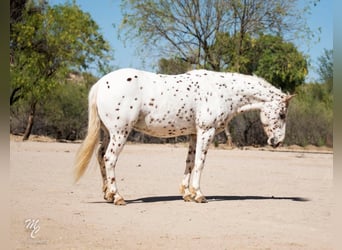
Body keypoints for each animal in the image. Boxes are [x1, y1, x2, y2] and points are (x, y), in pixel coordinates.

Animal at [75, 68, 294, 205]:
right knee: (109, 159)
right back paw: (118, 197)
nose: (278, 142)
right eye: (282, 114)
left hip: (107, 133)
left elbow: (189, 162)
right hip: (120, 133)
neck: (222, 90)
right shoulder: (206, 131)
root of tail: (101, 83)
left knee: (100, 156)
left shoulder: (194, 134)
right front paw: (199, 195)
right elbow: (200, 163)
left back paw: (108, 195)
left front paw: (187, 194)